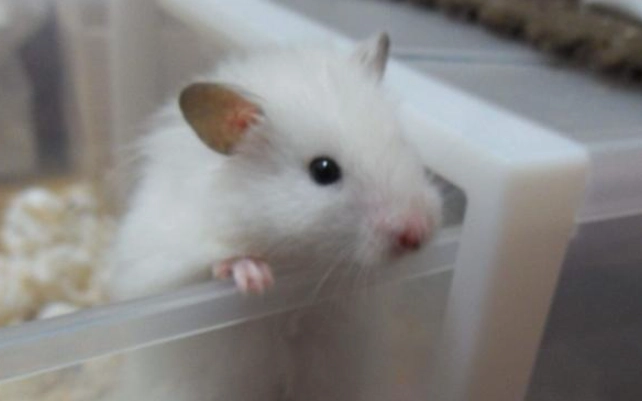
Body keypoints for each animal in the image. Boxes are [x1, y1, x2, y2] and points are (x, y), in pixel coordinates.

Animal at [108, 33, 442, 401]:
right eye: (323, 170)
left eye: (401, 143)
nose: (417, 235)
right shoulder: (165, 266)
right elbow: (215, 264)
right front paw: (256, 279)